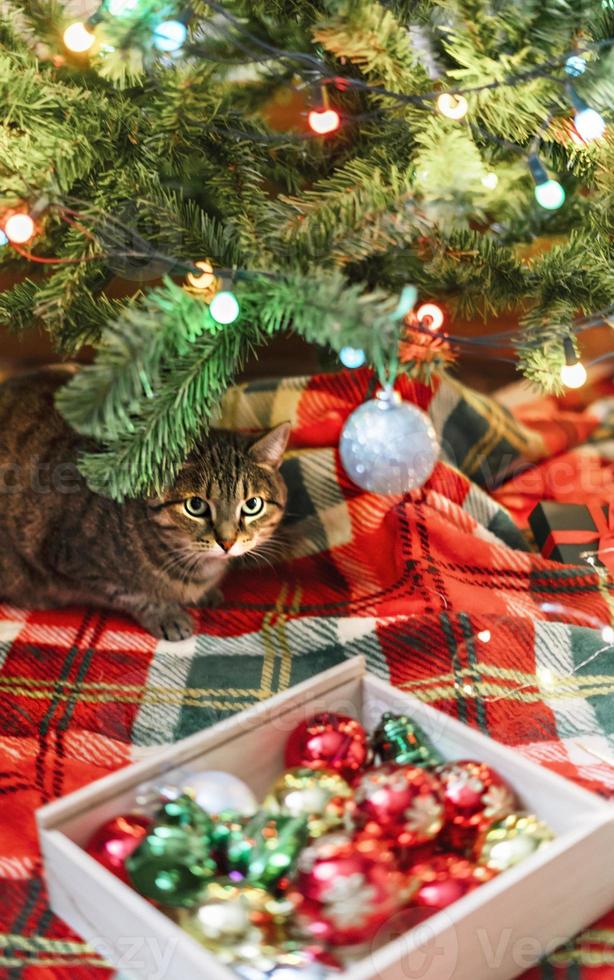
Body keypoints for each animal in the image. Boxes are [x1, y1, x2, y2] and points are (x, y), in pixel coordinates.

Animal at [0, 370, 292, 644]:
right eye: (196, 505)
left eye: (252, 505)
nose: (227, 542)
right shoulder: (74, 560)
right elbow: (132, 593)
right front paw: (167, 613)